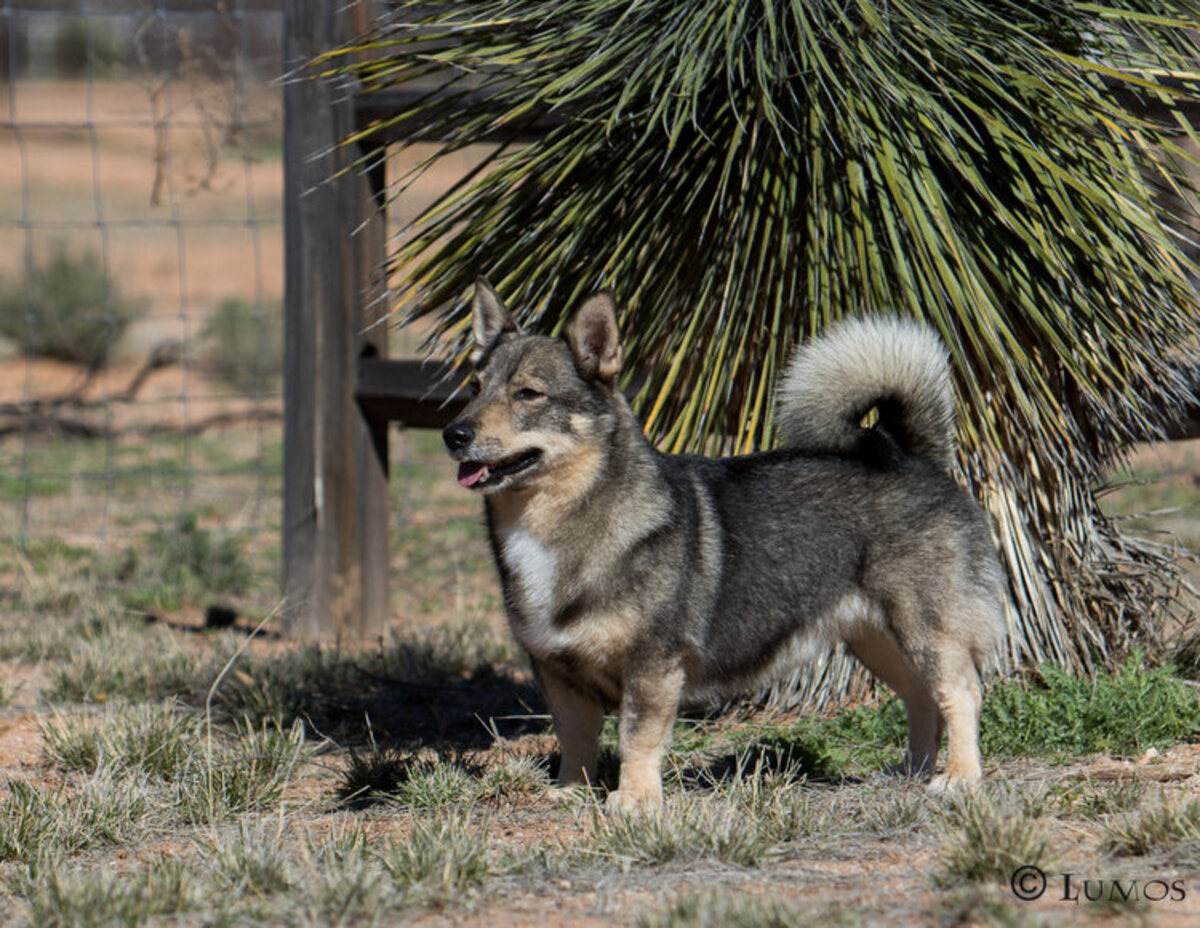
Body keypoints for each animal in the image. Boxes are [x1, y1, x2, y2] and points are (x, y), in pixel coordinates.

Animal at [441, 278, 1003, 806]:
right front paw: (570, 791)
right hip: (876, 638)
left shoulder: (651, 666)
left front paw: (635, 799)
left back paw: (958, 778)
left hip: (927, 628)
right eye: (475, 387)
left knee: (961, 694)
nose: (453, 435)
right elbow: (577, 739)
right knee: (920, 697)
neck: (564, 518)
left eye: (528, 394)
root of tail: (911, 453)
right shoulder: (559, 673)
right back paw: (912, 771)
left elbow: (636, 737)